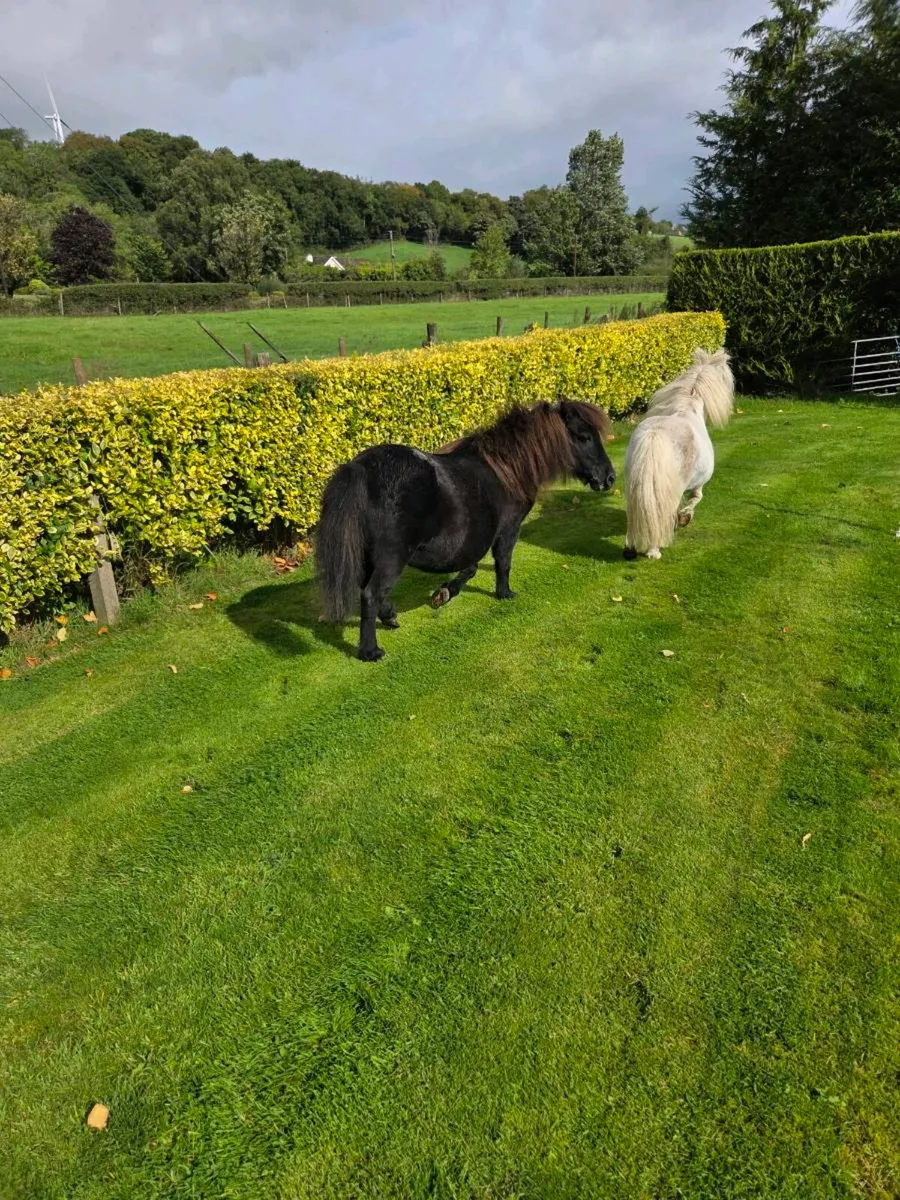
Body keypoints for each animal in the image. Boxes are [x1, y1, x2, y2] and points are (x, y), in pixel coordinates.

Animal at [316, 398, 617, 660]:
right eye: (583, 437)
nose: (609, 477)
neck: (507, 468)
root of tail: (361, 468)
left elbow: (470, 568)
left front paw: (444, 593)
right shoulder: (508, 530)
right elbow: (502, 562)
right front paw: (504, 593)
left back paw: (390, 616)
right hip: (392, 558)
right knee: (370, 594)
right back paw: (370, 651)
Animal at [623, 348, 734, 561]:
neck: (687, 407)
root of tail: (654, 436)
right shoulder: (698, 485)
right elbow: (695, 500)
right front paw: (684, 518)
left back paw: (630, 547)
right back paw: (654, 551)